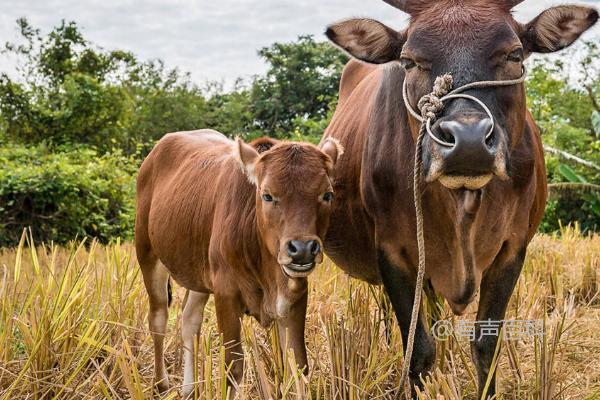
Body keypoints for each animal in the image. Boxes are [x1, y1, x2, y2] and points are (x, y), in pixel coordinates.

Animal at [136, 130, 342, 398]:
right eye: (267, 195)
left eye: (327, 194)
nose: (303, 248)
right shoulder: (226, 293)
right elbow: (232, 368)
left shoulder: (295, 296)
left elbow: (297, 367)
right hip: (148, 255)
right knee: (158, 318)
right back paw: (162, 385)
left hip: (199, 273)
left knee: (189, 320)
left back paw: (189, 389)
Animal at [322, 0, 596, 396]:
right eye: (409, 61)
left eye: (514, 54)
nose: (467, 142)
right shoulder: (392, 251)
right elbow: (418, 350)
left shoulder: (513, 248)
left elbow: (486, 345)